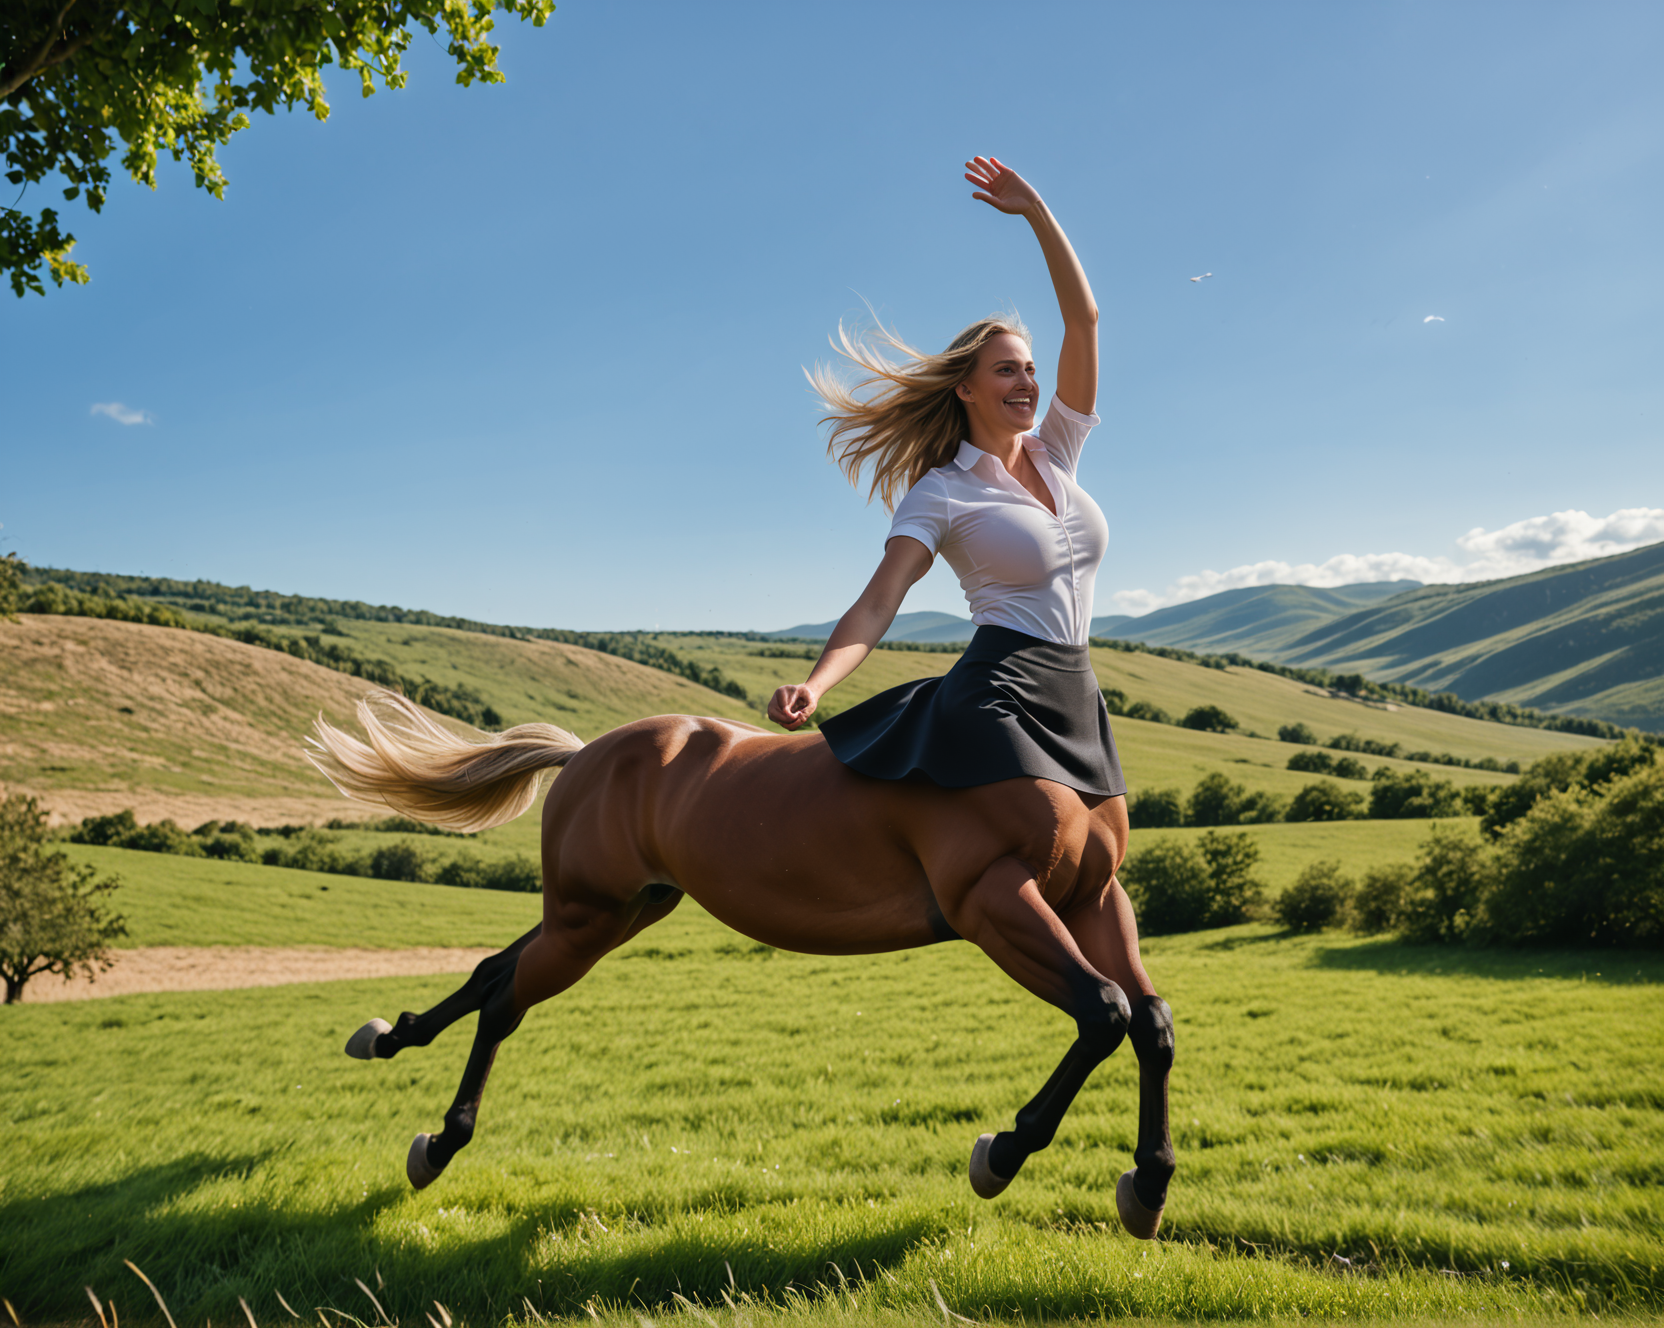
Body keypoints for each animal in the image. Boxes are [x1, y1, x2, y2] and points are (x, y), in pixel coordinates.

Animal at [309, 690, 1176, 1239]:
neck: (1041, 737)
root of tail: (585, 755)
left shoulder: (1095, 901)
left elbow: (1151, 1023)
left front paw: (1150, 1184)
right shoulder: (995, 901)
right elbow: (1104, 1011)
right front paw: (1001, 1153)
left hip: (620, 911)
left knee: (494, 974)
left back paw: (386, 1037)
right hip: (587, 921)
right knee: (503, 1002)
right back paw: (438, 1144)